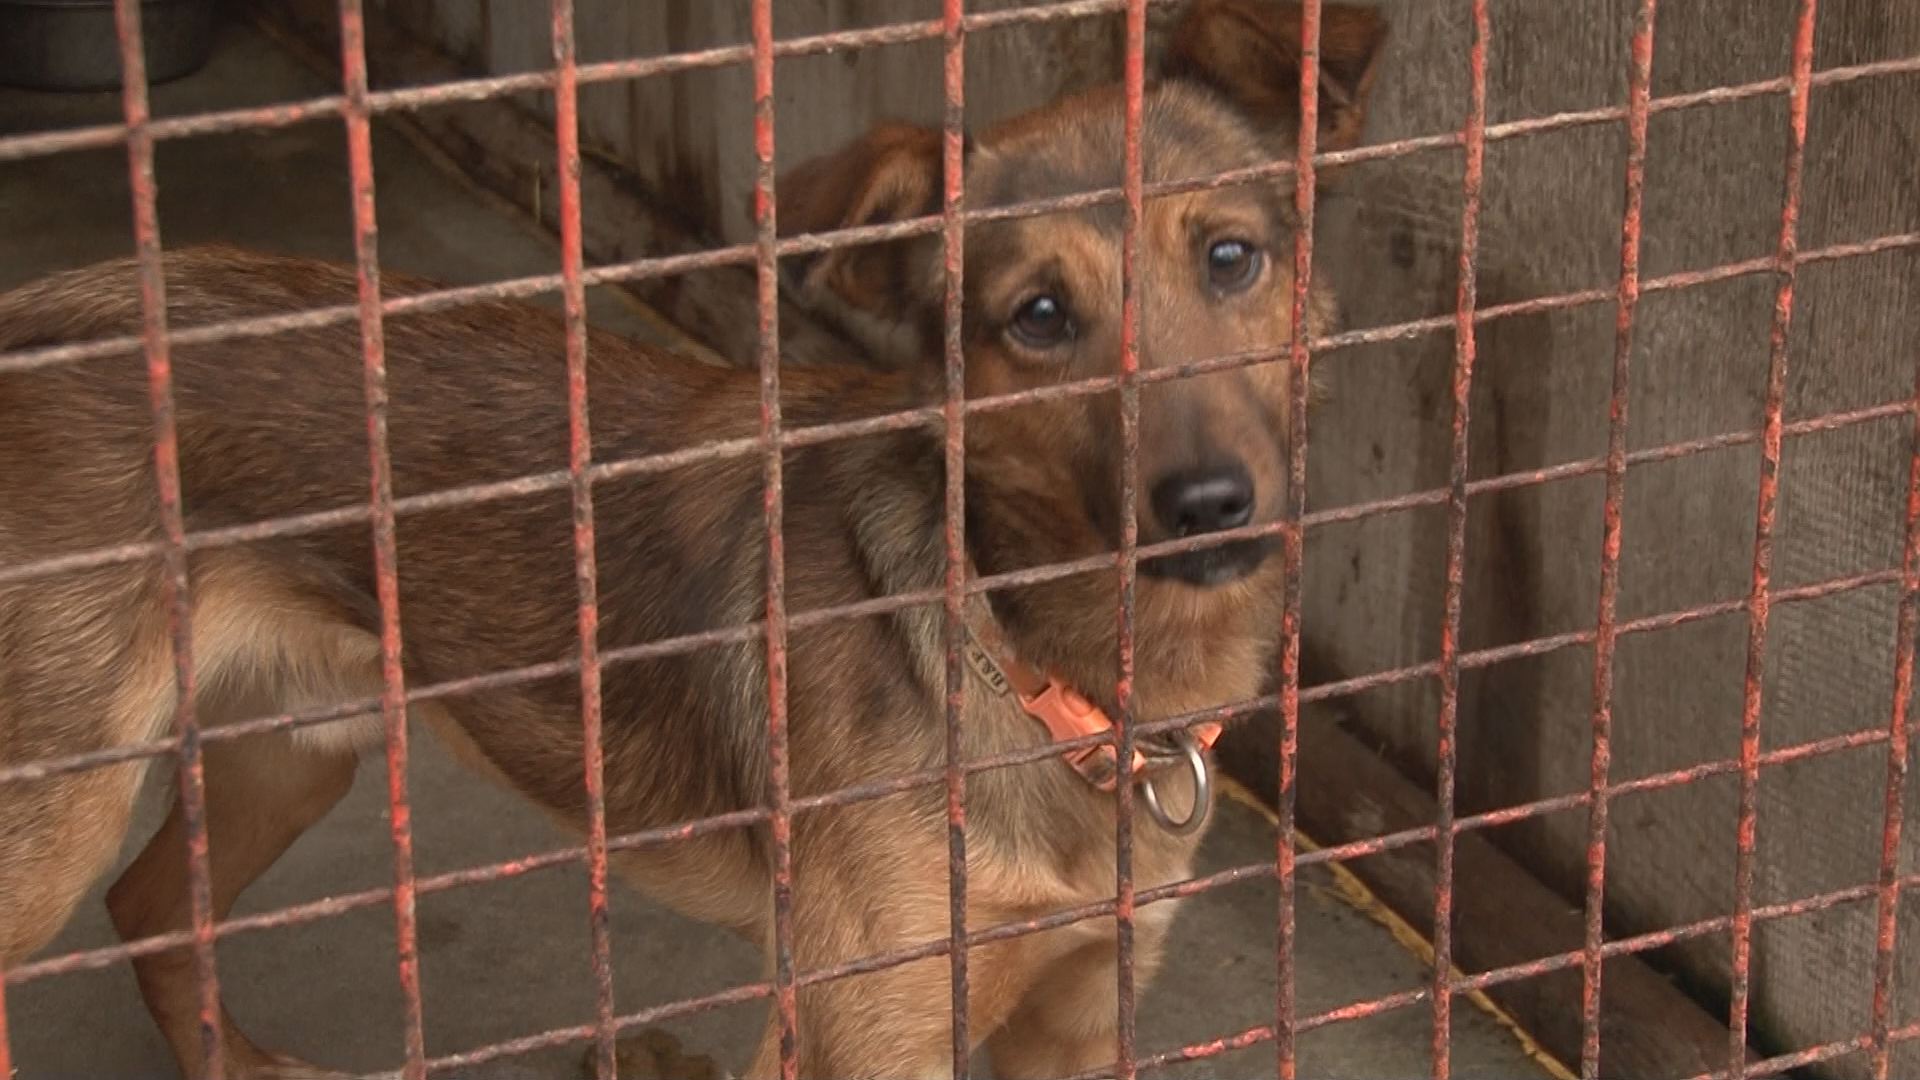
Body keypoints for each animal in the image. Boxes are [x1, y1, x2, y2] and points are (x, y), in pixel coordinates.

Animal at [0, 1, 1386, 1075]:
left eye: (1231, 257)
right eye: (1037, 317)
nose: (1207, 503)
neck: (1028, 654)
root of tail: (58, 306)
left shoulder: (1082, 1014)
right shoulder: (863, 1033)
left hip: (296, 747)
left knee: (150, 909)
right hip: (53, 824)